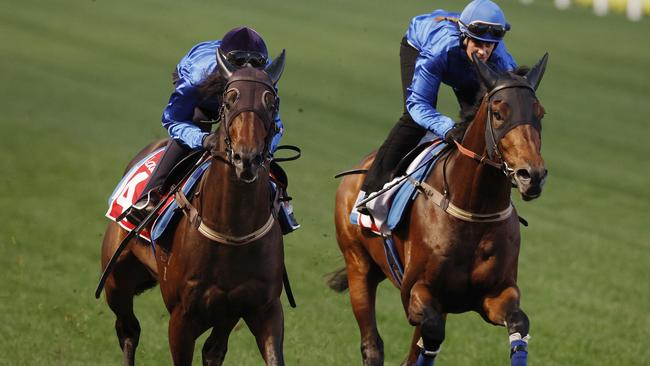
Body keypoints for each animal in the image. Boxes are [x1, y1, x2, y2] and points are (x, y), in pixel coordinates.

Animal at [99, 49, 286, 366]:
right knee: (128, 330)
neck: (232, 231)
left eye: (270, 102)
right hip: (116, 280)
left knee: (213, 349)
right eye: (229, 98)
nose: (246, 158)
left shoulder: (264, 308)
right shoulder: (182, 318)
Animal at [330, 54, 548, 366]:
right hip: (358, 265)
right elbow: (431, 334)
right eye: (498, 113)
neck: (474, 210)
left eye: (539, 114)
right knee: (372, 345)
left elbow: (519, 322)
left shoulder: (495, 294)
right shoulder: (417, 292)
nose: (532, 175)